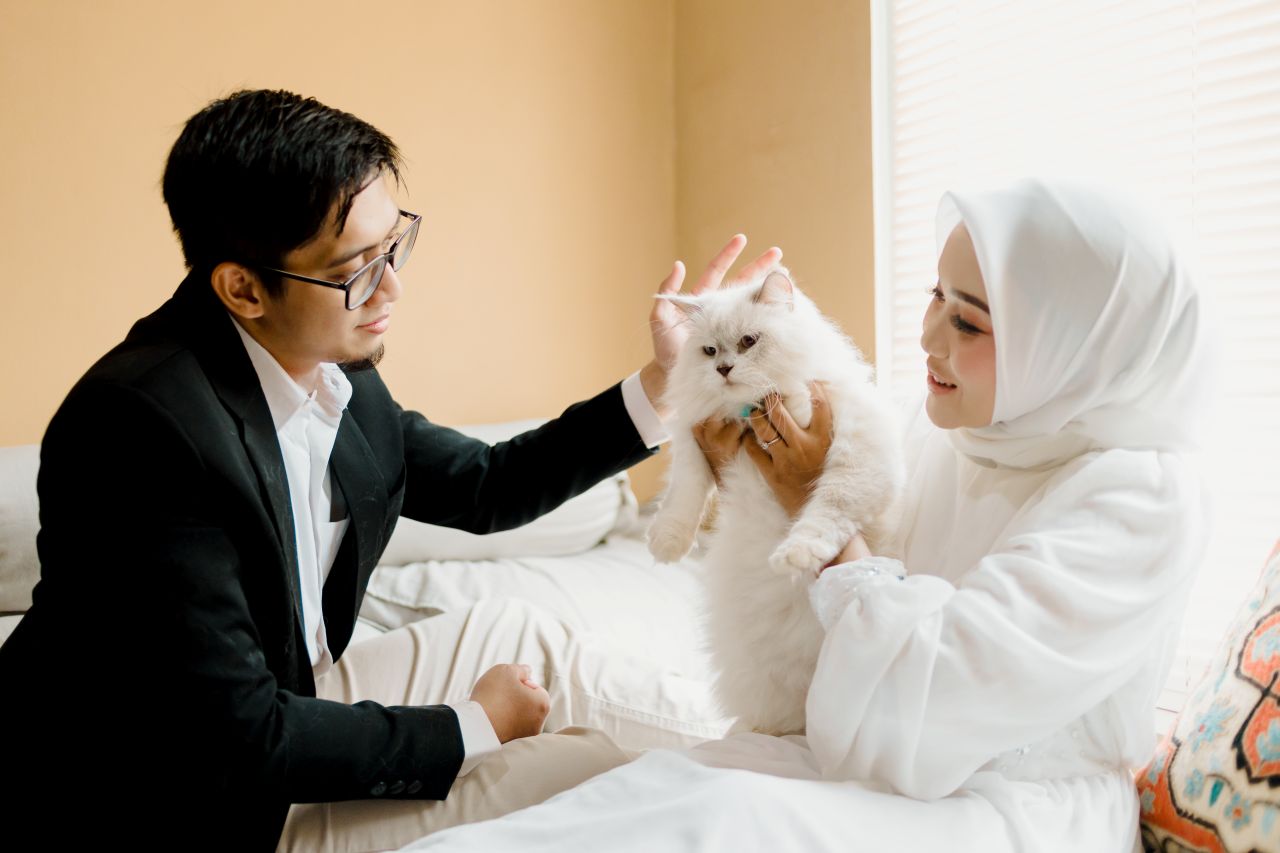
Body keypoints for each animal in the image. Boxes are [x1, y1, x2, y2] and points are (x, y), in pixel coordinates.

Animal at [648, 266, 904, 736]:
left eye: (749, 341)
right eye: (709, 351)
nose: (724, 368)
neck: (750, 411)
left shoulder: (860, 456)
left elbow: (826, 510)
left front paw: (793, 556)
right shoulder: (694, 440)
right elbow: (683, 495)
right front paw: (667, 545)